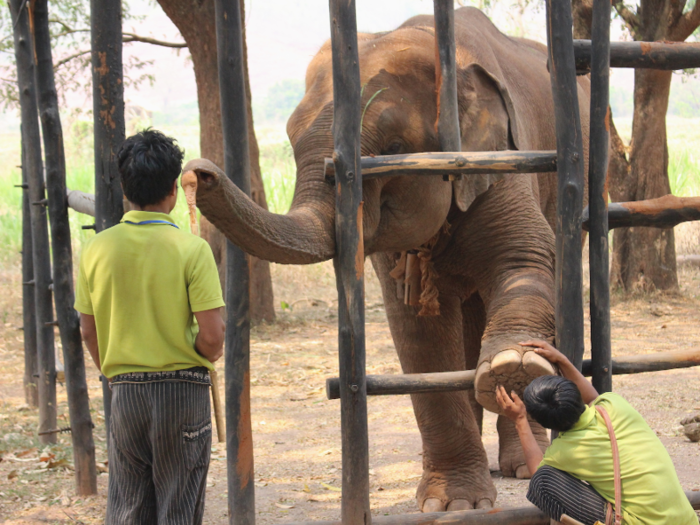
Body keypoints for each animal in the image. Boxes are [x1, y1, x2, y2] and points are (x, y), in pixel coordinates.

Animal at [183, 5, 588, 512]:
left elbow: (529, 254)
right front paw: (454, 505)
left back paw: (521, 466)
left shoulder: (501, 157)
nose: (197, 172)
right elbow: (416, 330)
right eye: (291, 142)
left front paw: (513, 370)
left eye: (394, 149)